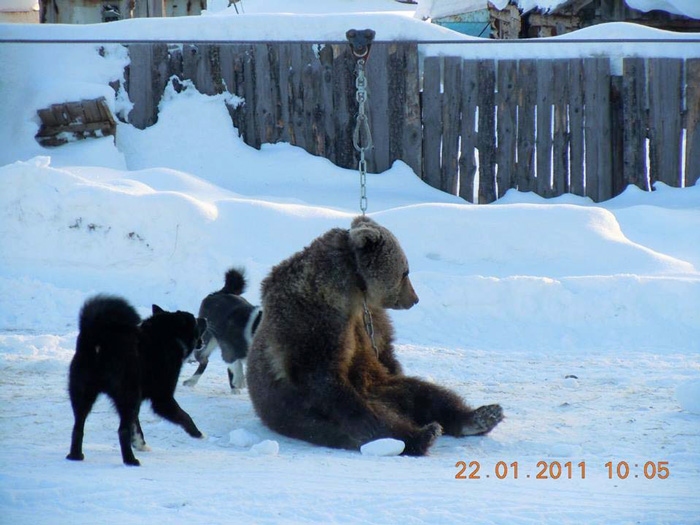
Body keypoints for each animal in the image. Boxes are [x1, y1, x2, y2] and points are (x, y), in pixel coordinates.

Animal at [66, 294, 206, 466]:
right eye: (195, 320)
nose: (205, 319)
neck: (167, 335)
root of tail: (99, 341)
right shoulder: (162, 398)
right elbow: (184, 415)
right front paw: (197, 433)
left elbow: (136, 424)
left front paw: (140, 443)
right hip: (128, 394)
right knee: (122, 430)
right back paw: (130, 460)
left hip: (84, 394)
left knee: (78, 427)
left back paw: (75, 455)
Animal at [246, 215, 504, 452]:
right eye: (405, 272)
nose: (414, 298)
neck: (351, 288)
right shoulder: (315, 319)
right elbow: (323, 375)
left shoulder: (369, 318)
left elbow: (384, 350)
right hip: (305, 416)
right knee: (370, 423)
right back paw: (419, 435)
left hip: (387, 388)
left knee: (427, 394)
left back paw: (481, 416)